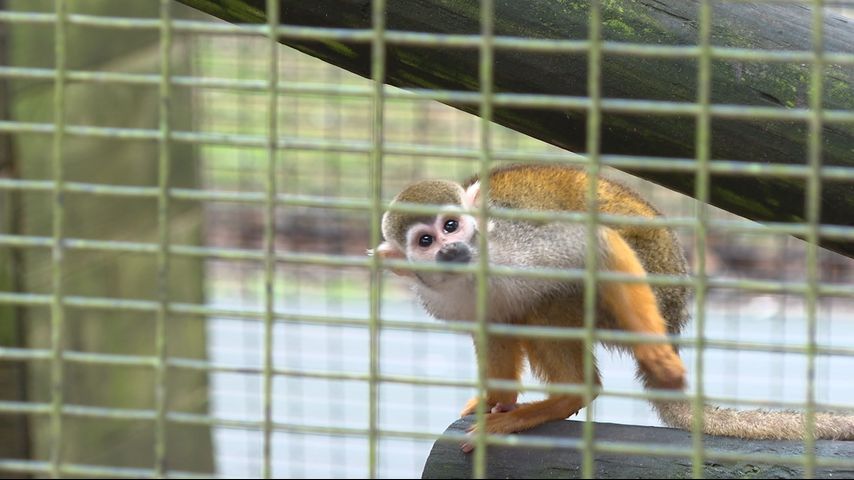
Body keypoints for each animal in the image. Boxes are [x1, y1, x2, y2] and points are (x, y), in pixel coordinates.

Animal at [372, 164, 854, 450]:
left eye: (451, 225)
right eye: (425, 241)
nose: (451, 250)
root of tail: (674, 318)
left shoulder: (517, 247)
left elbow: (594, 244)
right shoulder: (441, 296)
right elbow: (491, 325)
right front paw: (496, 397)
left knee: (552, 298)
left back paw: (575, 393)